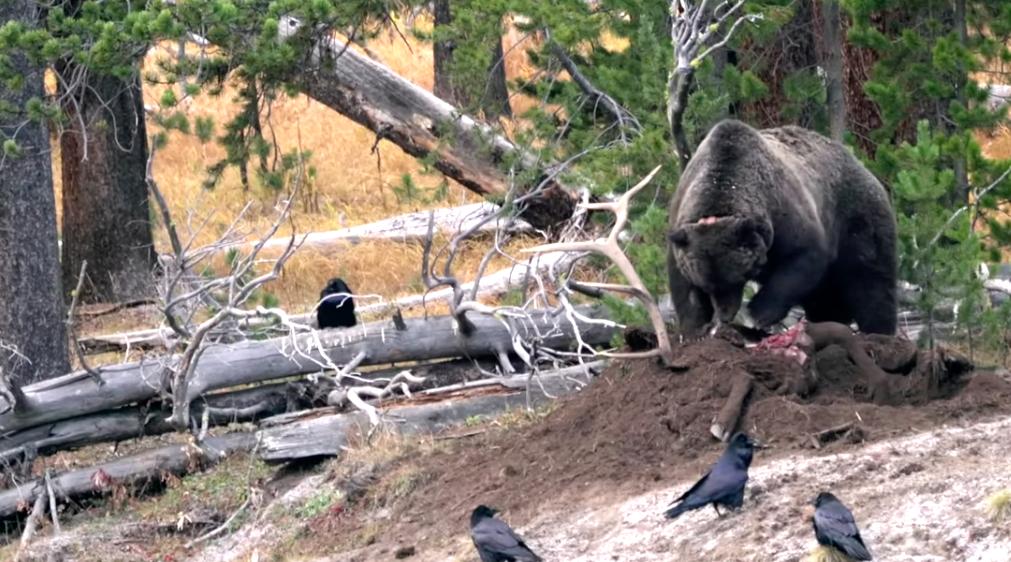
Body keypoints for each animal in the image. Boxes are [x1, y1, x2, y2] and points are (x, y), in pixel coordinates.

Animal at [667, 119, 897, 337]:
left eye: (737, 279)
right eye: (707, 286)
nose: (725, 315)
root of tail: (862, 166)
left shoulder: (783, 216)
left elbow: (801, 258)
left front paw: (757, 314)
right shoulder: (683, 227)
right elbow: (683, 286)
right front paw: (695, 327)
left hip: (857, 222)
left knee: (870, 283)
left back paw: (879, 331)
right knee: (827, 301)